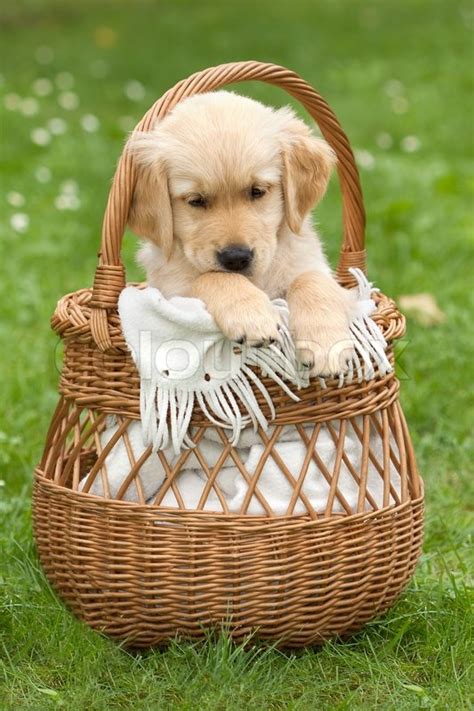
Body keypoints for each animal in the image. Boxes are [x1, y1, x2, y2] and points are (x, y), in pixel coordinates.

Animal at [126, 93, 356, 378]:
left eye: (257, 191)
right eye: (196, 200)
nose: (236, 258)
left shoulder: (312, 264)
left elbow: (312, 280)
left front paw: (326, 345)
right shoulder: (172, 292)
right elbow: (213, 277)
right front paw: (252, 315)